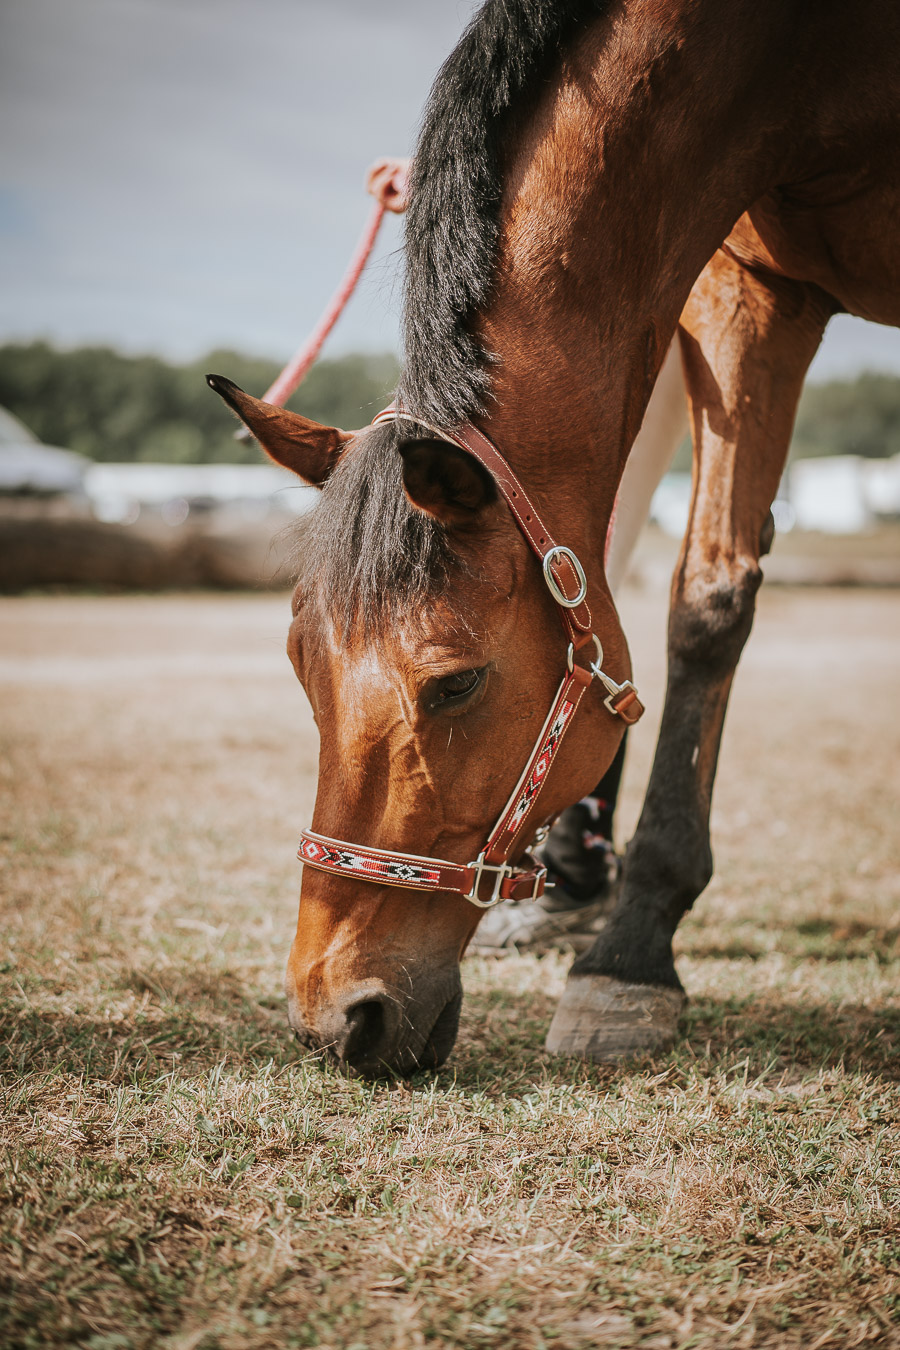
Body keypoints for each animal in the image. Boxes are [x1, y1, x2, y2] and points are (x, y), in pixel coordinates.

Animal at [209, 2, 900, 1074]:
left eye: (454, 685)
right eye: (298, 664)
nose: (336, 1016)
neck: (798, 65)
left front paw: (628, 958)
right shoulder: (746, 286)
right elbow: (707, 591)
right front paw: (625, 943)